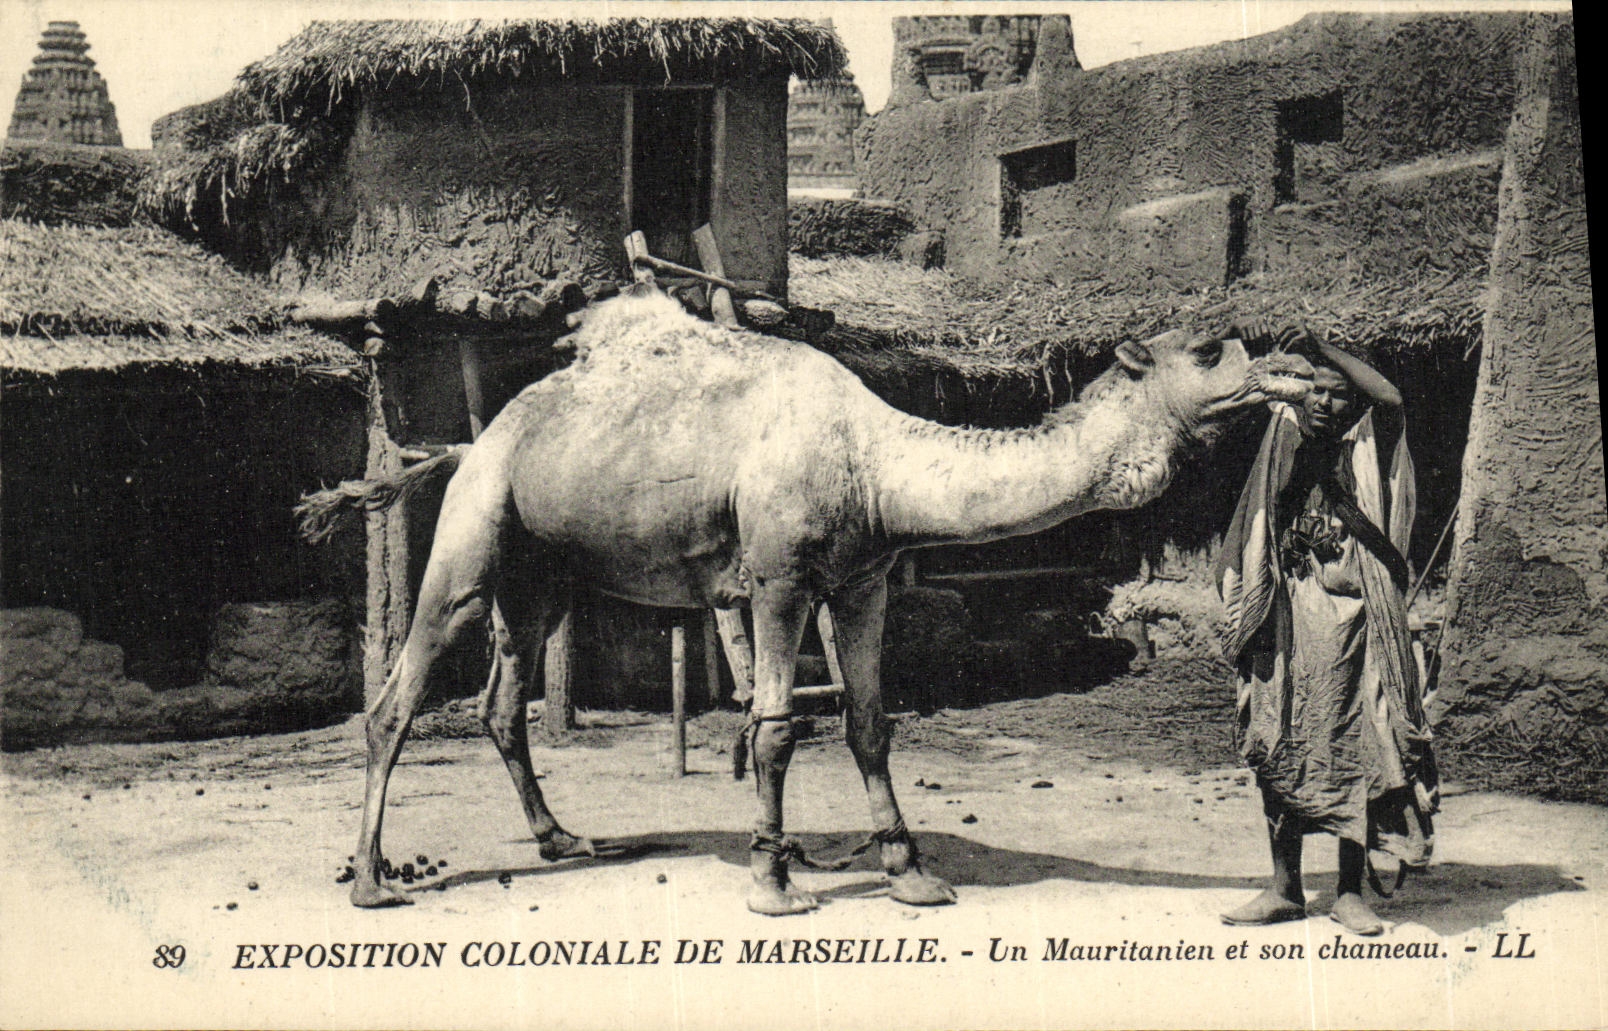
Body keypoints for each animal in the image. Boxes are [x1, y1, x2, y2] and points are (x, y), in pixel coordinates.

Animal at [299, 288, 1312, 915]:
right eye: (1211, 348)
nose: (1297, 369)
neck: (872, 460)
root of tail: (470, 444)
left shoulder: (861, 580)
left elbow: (869, 721)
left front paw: (909, 873)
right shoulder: (778, 578)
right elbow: (778, 726)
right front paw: (774, 880)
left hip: (541, 573)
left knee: (501, 701)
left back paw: (561, 839)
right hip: (473, 535)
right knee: (397, 698)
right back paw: (373, 881)